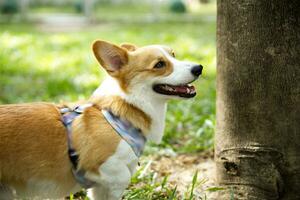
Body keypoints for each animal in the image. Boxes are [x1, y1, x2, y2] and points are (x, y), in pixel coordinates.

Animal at [0, 39, 203, 199]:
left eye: (173, 55)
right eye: (159, 65)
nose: (199, 68)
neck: (120, 114)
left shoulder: (100, 188)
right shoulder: (101, 164)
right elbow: (123, 175)